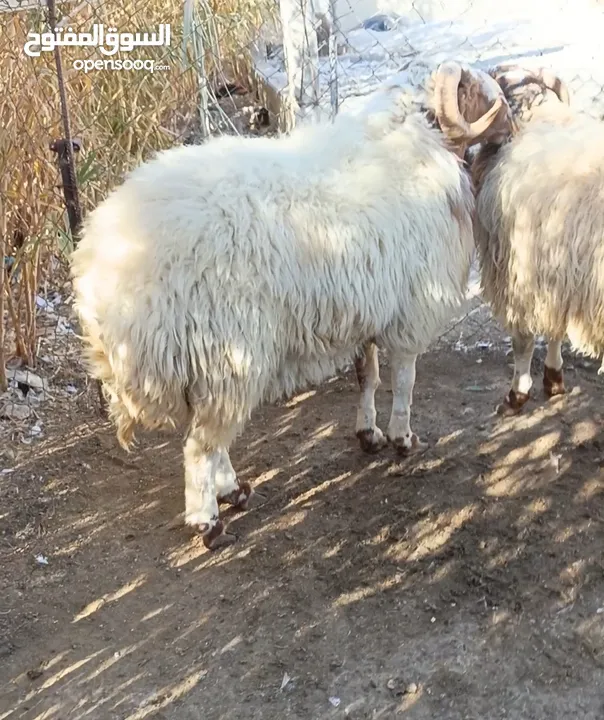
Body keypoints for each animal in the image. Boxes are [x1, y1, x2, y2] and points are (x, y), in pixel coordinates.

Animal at [73, 62, 512, 548]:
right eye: (475, 88)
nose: (512, 123)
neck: (420, 141)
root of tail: (99, 273)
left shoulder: (366, 309)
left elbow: (368, 377)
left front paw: (369, 434)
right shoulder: (409, 311)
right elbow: (405, 380)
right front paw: (403, 438)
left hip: (209, 364)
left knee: (208, 437)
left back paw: (233, 492)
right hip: (228, 353)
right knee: (201, 445)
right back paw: (209, 519)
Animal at [472, 66, 604, 416]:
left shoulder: (522, 274)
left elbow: (523, 340)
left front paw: (517, 394)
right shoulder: (557, 274)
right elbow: (555, 330)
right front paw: (554, 380)